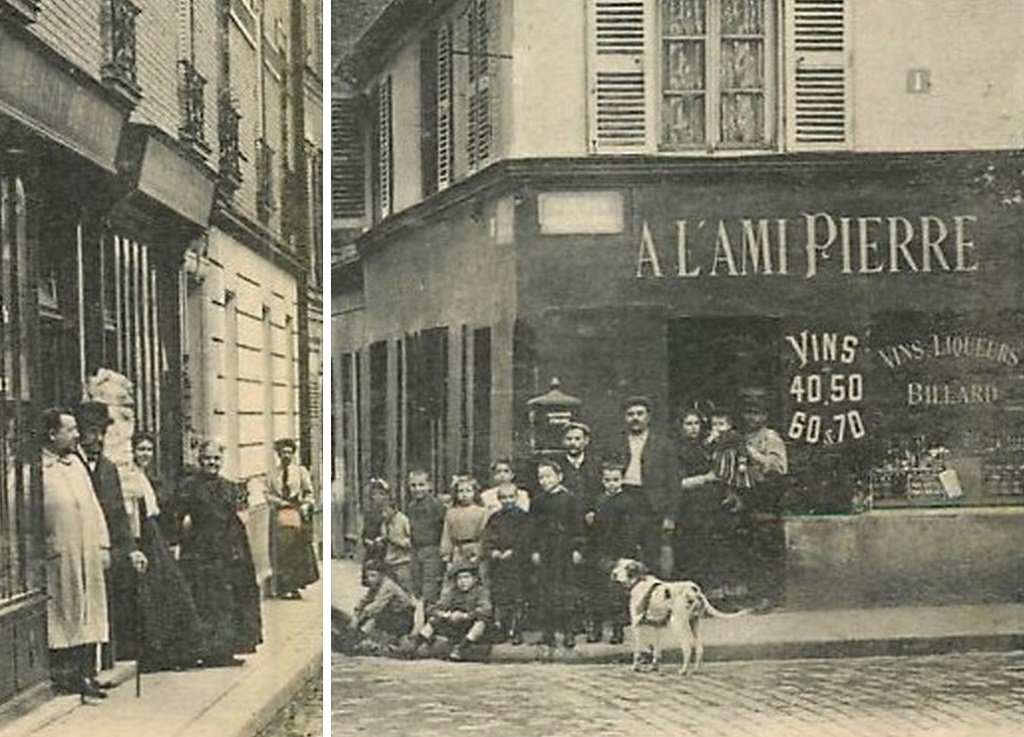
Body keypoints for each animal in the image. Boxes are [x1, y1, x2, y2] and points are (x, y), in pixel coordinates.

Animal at [610, 556, 749, 675]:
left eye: (629, 568)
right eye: (618, 565)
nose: (614, 574)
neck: (639, 581)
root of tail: (695, 590)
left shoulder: (636, 624)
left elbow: (638, 650)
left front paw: (636, 667)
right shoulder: (657, 627)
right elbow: (656, 651)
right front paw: (654, 667)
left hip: (677, 624)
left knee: (687, 649)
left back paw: (683, 670)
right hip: (695, 625)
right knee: (699, 649)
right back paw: (695, 670)